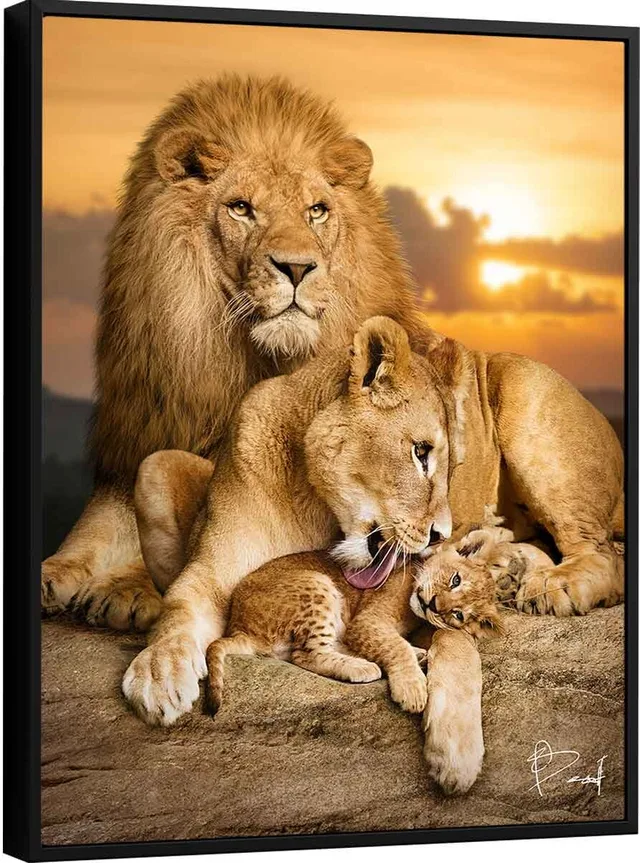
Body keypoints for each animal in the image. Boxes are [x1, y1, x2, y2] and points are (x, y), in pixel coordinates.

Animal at [40, 75, 427, 626]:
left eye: (317, 210)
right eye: (241, 207)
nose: (297, 267)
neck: (246, 360)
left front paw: (127, 589)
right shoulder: (144, 438)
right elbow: (101, 523)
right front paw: (56, 571)